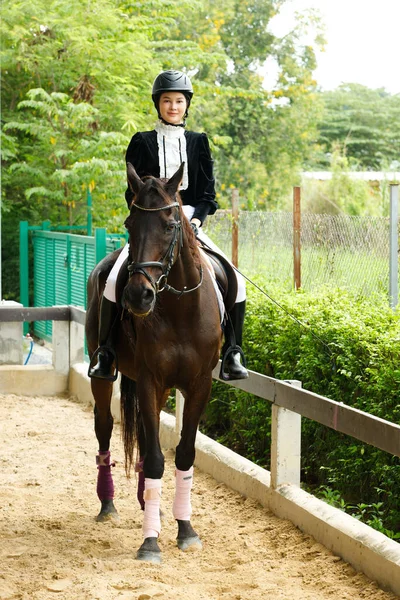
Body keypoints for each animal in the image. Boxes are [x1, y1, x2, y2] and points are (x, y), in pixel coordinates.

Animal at [85, 163, 222, 564]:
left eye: (169, 224)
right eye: (130, 223)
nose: (137, 296)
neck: (179, 309)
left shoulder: (198, 385)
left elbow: (183, 454)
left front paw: (185, 530)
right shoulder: (150, 380)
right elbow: (158, 458)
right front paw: (150, 542)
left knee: (146, 442)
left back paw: (150, 504)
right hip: (102, 375)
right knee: (104, 426)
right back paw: (109, 505)